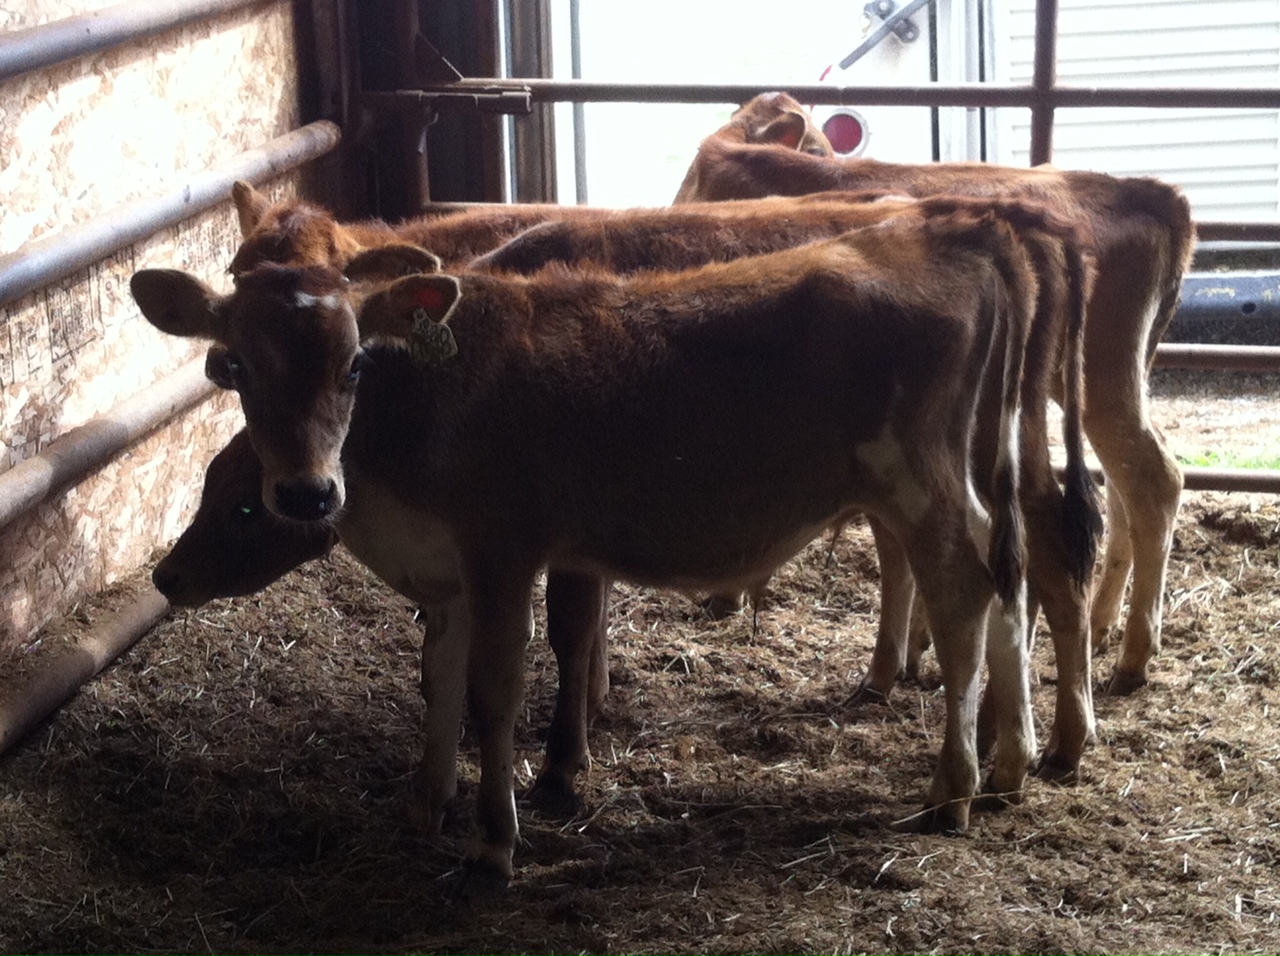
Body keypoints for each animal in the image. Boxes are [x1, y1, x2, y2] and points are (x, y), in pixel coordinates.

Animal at [132, 203, 1054, 892]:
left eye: (355, 363)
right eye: (237, 366)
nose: (306, 493)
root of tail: (956, 231)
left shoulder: (502, 554)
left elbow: (494, 692)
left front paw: (493, 841)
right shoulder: (448, 573)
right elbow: (438, 680)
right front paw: (427, 801)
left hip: (918, 486)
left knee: (964, 597)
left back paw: (954, 787)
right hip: (967, 482)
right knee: (1008, 585)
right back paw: (1012, 763)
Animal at [675, 92, 1197, 696]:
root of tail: (1150, 192)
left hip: (1103, 382)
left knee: (1154, 481)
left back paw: (1133, 656)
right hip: (1107, 384)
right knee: (1121, 488)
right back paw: (1103, 624)